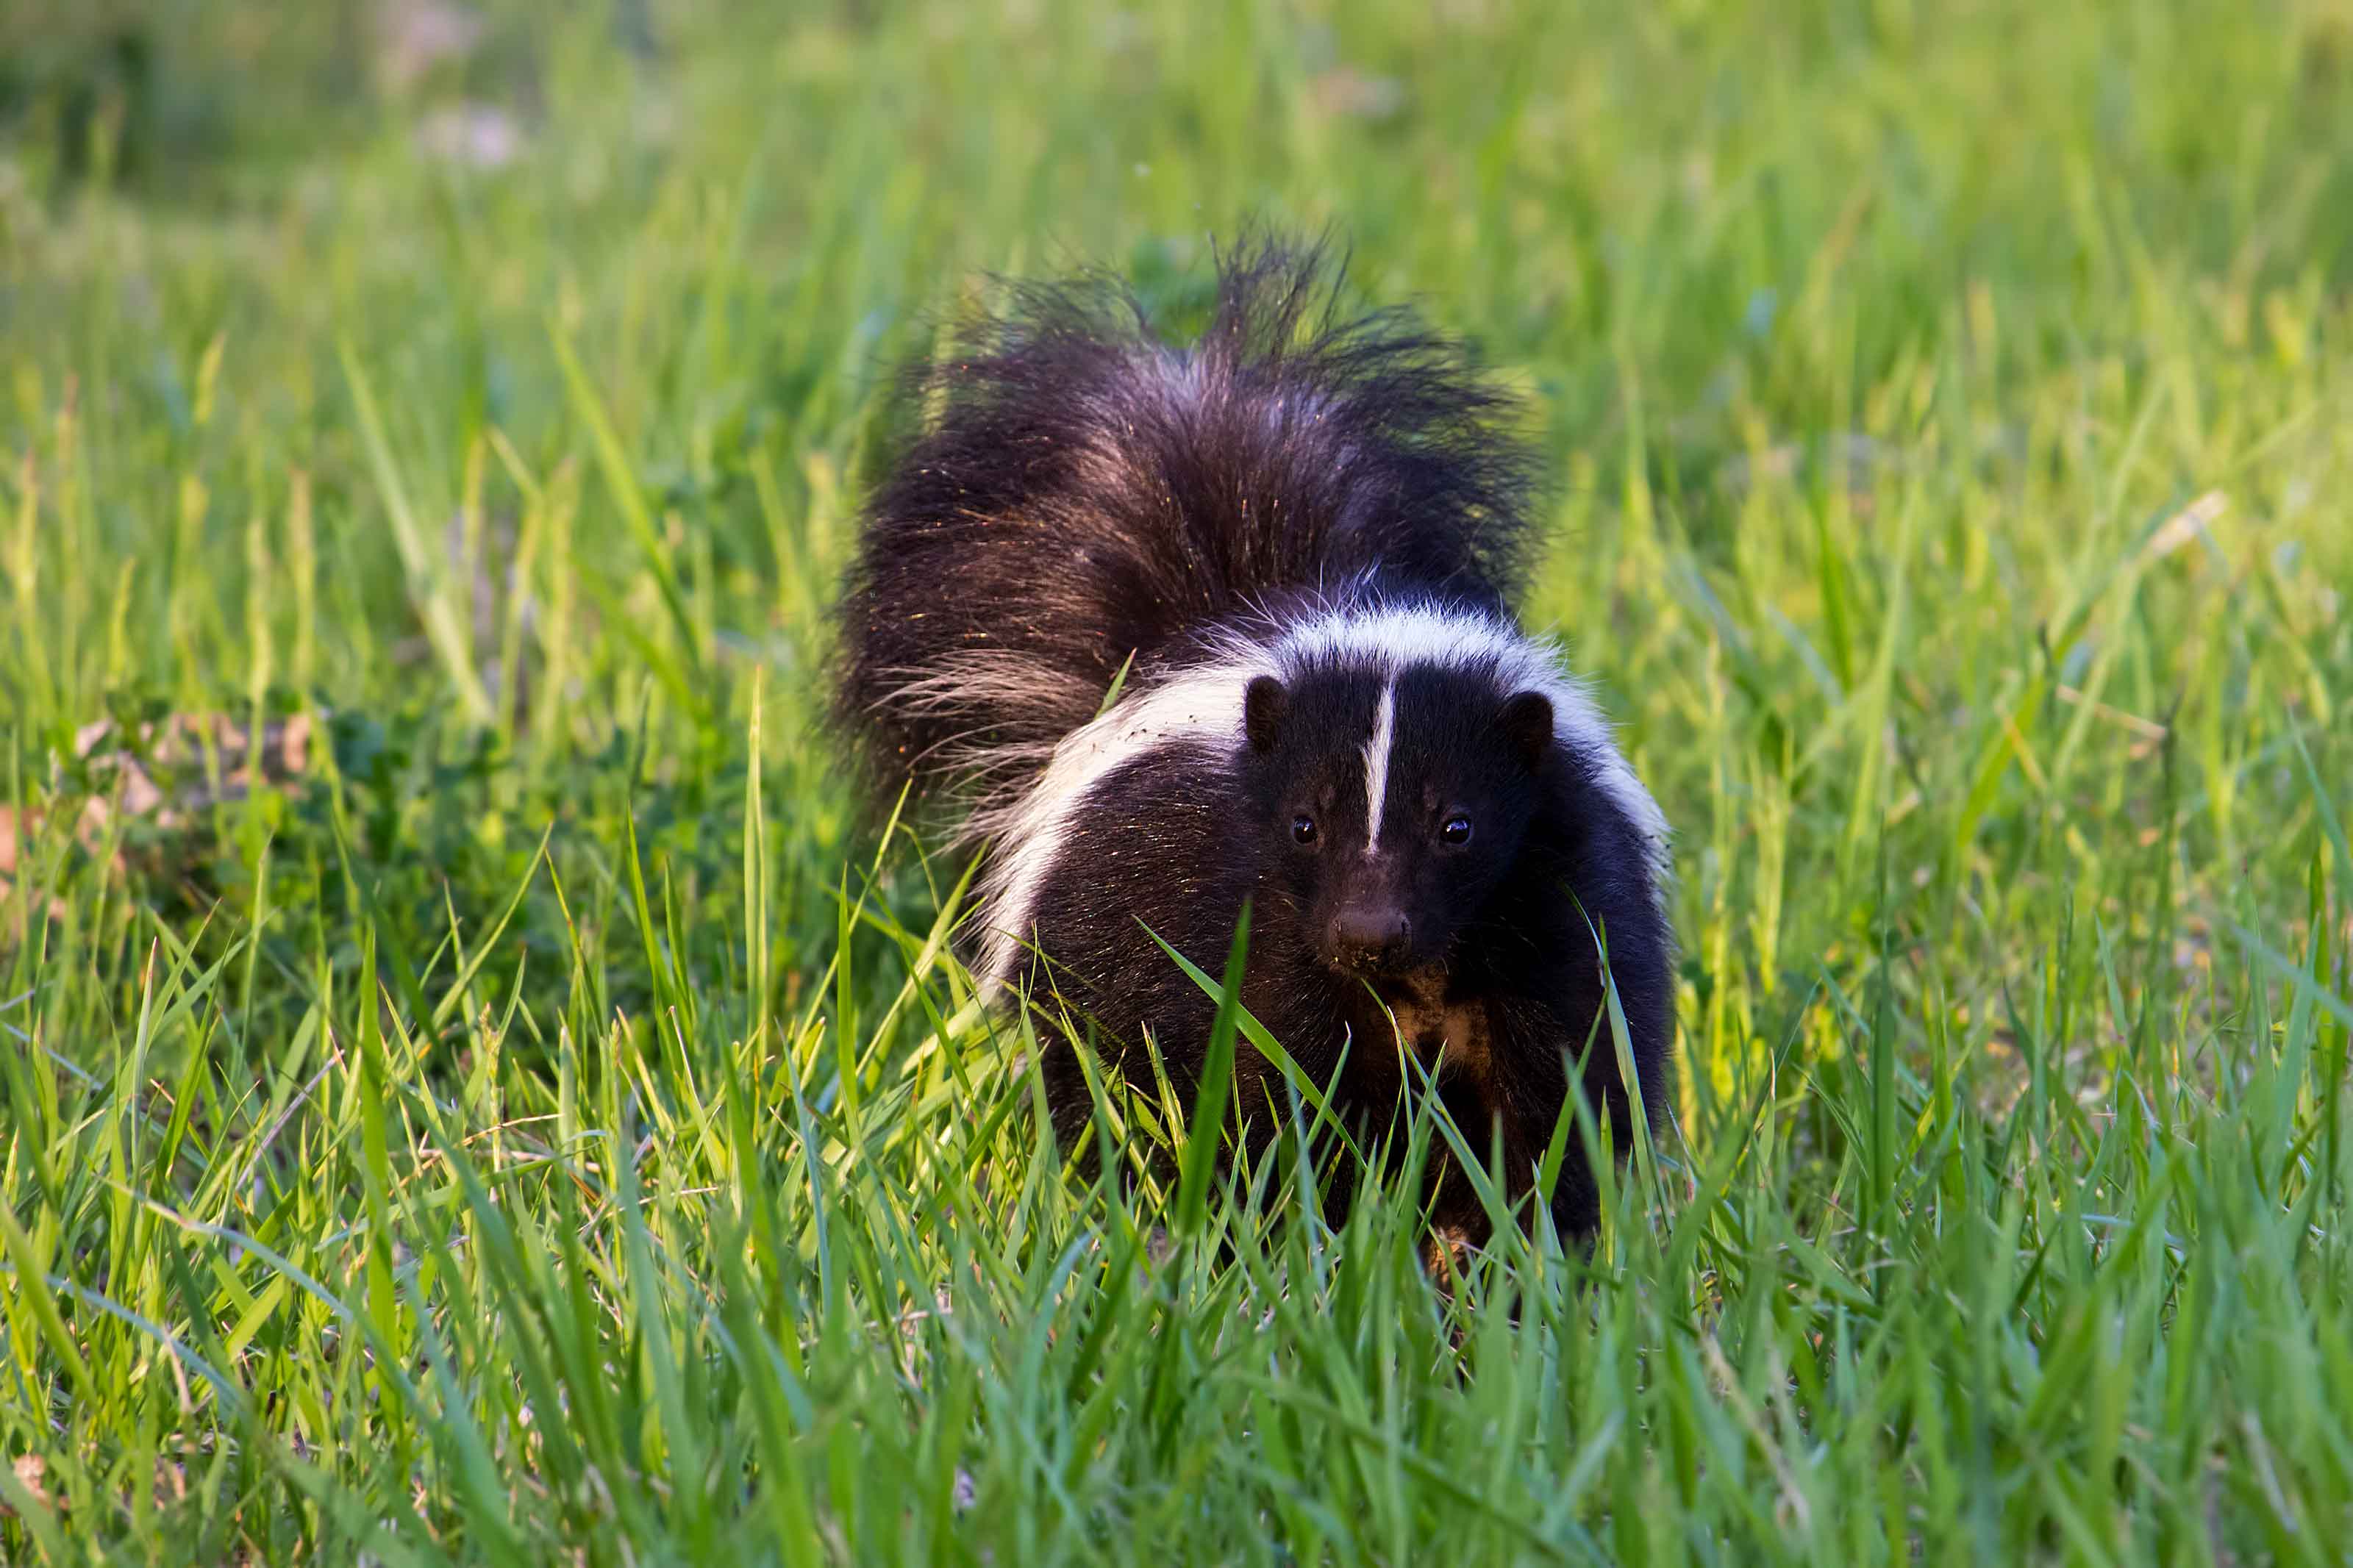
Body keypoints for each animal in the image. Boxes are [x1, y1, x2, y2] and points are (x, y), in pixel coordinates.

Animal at [832, 240, 1675, 1241]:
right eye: (1303, 825)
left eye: (1457, 827)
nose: (1366, 932)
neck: (1419, 986)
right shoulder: (1249, 924)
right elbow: (1271, 1091)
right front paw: (1298, 1234)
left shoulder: (1560, 909)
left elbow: (1563, 1098)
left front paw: (1510, 1244)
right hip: (1086, 955)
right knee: (1098, 1084)